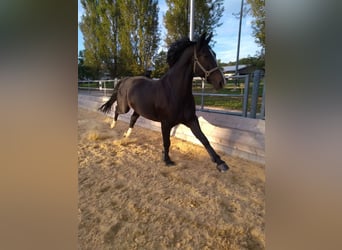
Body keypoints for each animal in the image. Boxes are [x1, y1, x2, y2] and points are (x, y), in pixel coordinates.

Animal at [97, 32, 228, 172]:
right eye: (205, 55)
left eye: (214, 54)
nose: (222, 82)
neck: (173, 91)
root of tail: (125, 79)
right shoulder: (165, 123)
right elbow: (167, 142)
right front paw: (167, 160)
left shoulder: (191, 120)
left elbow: (204, 139)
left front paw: (221, 163)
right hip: (124, 107)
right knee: (117, 110)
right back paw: (112, 126)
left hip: (139, 109)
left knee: (132, 118)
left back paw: (126, 135)